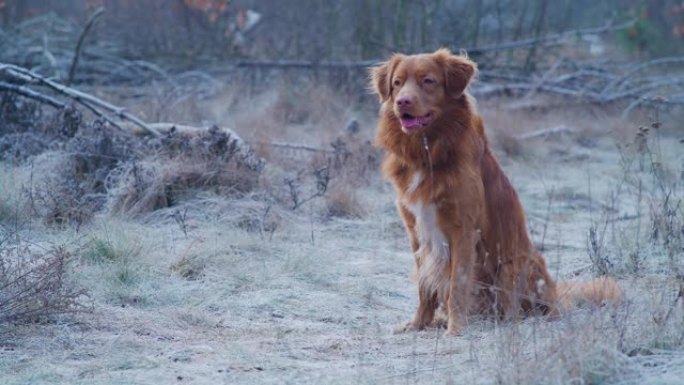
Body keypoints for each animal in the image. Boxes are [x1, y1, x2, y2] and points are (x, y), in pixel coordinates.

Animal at [372, 49, 616, 334]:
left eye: (428, 81)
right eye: (397, 83)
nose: (402, 101)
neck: (428, 152)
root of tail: (557, 295)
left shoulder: (463, 231)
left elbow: (457, 284)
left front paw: (455, 329)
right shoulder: (416, 230)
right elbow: (425, 285)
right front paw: (418, 323)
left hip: (514, 265)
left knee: (520, 308)